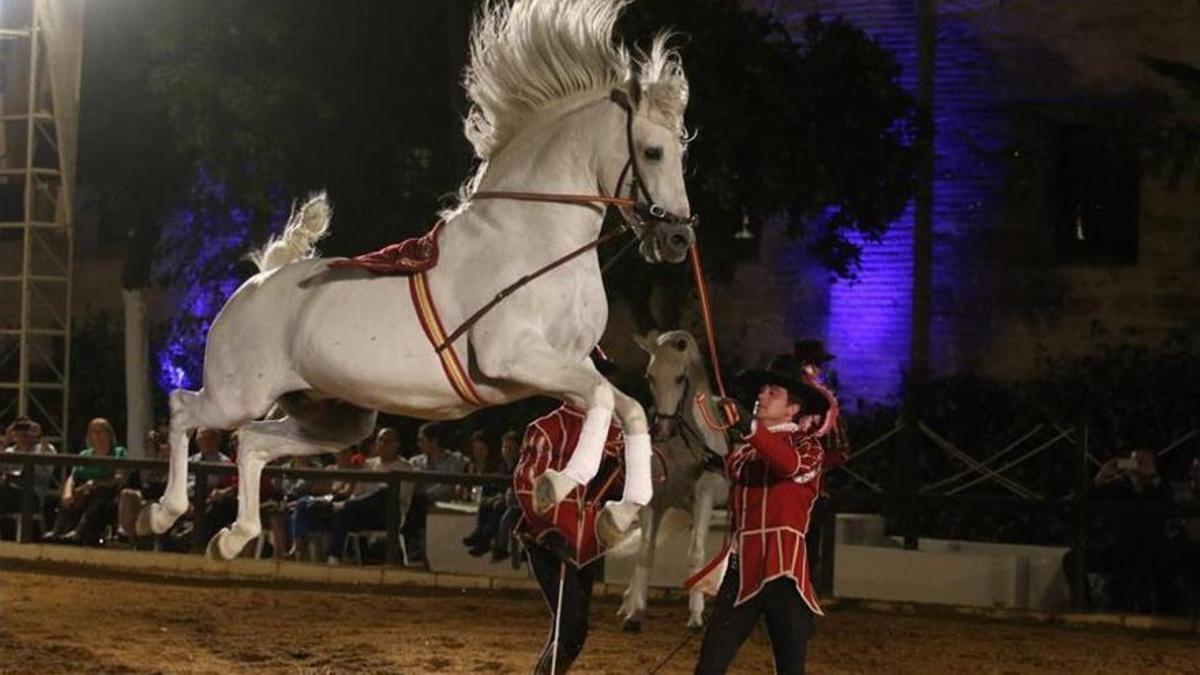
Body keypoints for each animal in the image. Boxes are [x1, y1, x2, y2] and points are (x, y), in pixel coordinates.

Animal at [137, 0, 700, 557]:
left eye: (681, 151)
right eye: (652, 152)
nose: (678, 239)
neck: (534, 243)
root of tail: (260, 280)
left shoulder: (563, 367)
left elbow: (629, 409)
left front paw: (617, 517)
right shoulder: (514, 358)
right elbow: (606, 400)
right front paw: (556, 484)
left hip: (334, 419)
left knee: (252, 443)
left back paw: (234, 538)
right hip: (238, 394)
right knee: (184, 410)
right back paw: (160, 514)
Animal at [619, 329, 729, 629]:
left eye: (680, 377)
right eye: (650, 376)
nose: (663, 429)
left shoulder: (703, 499)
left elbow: (696, 553)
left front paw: (696, 616)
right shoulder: (653, 502)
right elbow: (646, 551)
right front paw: (635, 612)